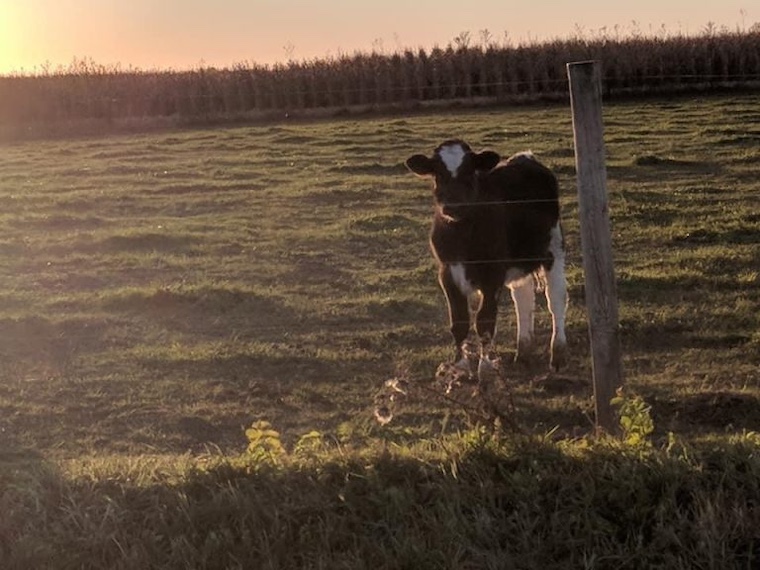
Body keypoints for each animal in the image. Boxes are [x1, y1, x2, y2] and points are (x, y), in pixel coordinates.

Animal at [405, 139, 567, 377]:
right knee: (523, 298)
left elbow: (484, 321)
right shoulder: (447, 273)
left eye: (469, 171)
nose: (453, 205)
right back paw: (523, 352)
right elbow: (459, 321)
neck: (461, 235)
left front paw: (486, 369)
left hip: (553, 247)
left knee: (556, 299)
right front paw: (460, 367)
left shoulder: (493, 274)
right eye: (438, 173)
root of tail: (525, 157)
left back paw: (558, 356)